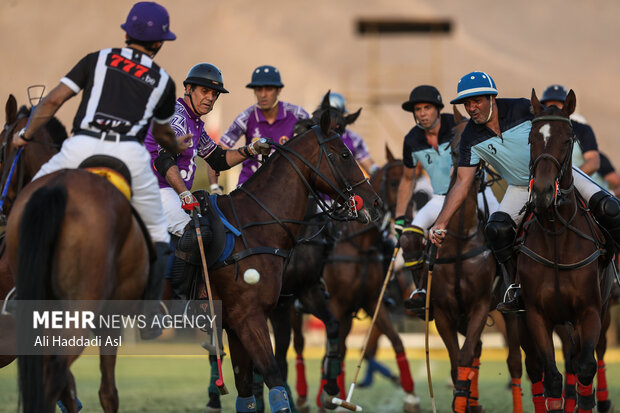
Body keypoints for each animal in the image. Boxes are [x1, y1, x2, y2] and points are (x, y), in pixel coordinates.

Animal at [520, 90, 612, 412]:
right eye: (531, 137)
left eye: (568, 138)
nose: (543, 193)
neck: (558, 237)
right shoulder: (535, 315)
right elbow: (552, 377)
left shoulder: (590, 311)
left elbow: (585, 367)